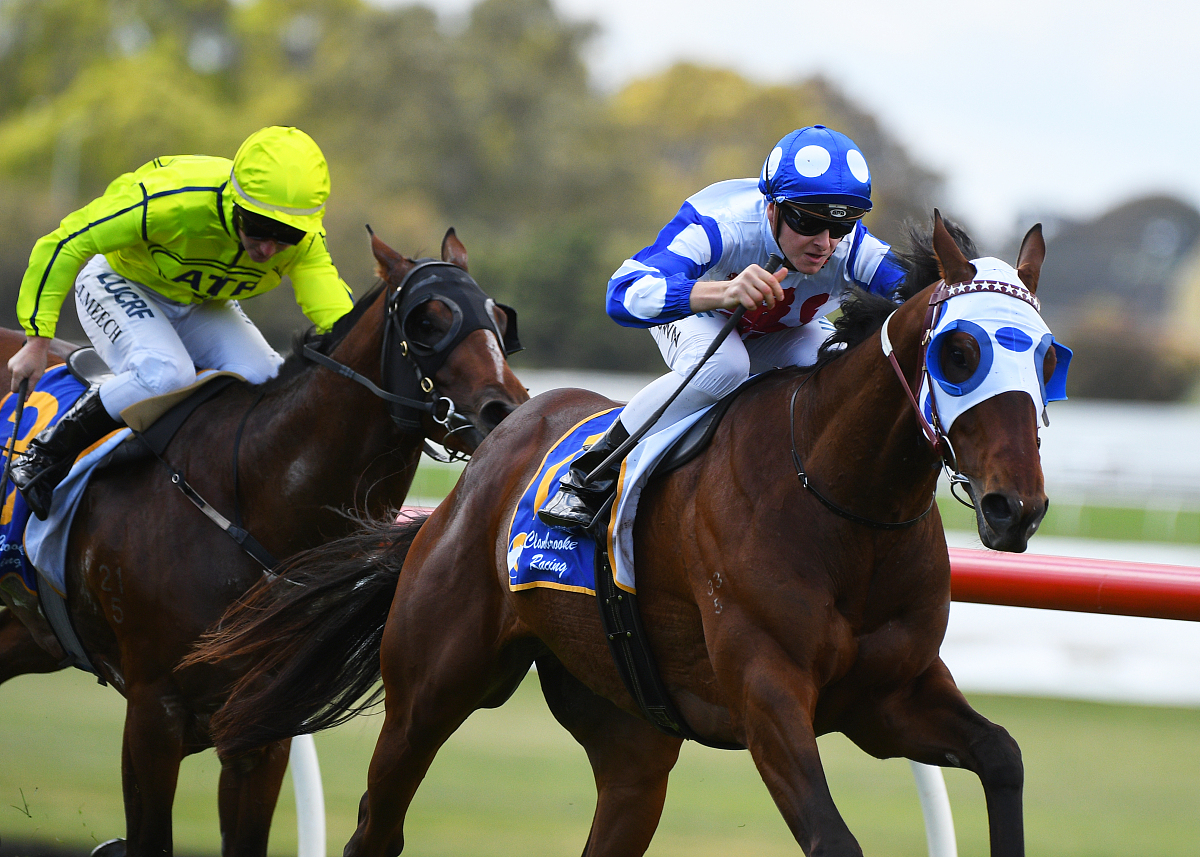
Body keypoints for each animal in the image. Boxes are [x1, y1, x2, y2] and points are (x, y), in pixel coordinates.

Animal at [0, 227, 530, 857]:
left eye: (499, 319)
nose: (504, 409)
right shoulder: (154, 711)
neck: (247, 493)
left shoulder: (260, 734)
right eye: (428, 320)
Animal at [194, 213, 1058, 857]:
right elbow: (833, 837)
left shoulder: (887, 696)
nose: (1014, 508)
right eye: (959, 350)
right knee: (378, 826)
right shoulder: (768, 693)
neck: (844, 503)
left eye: (1049, 355)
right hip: (428, 690)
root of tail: (472, 481)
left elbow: (1006, 757)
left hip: (630, 735)